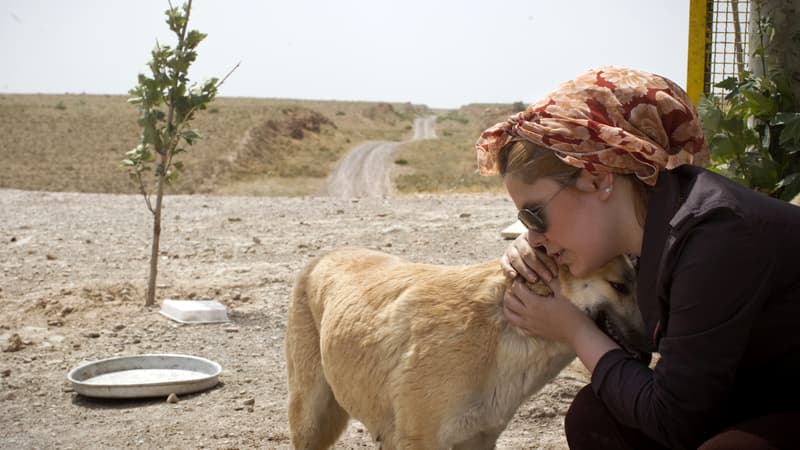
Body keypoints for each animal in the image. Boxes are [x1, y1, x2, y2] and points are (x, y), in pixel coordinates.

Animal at [288, 248, 648, 448]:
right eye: (619, 286)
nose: (650, 346)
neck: (503, 330)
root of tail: (325, 256)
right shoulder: (422, 440)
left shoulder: (478, 439)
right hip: (309, 421)